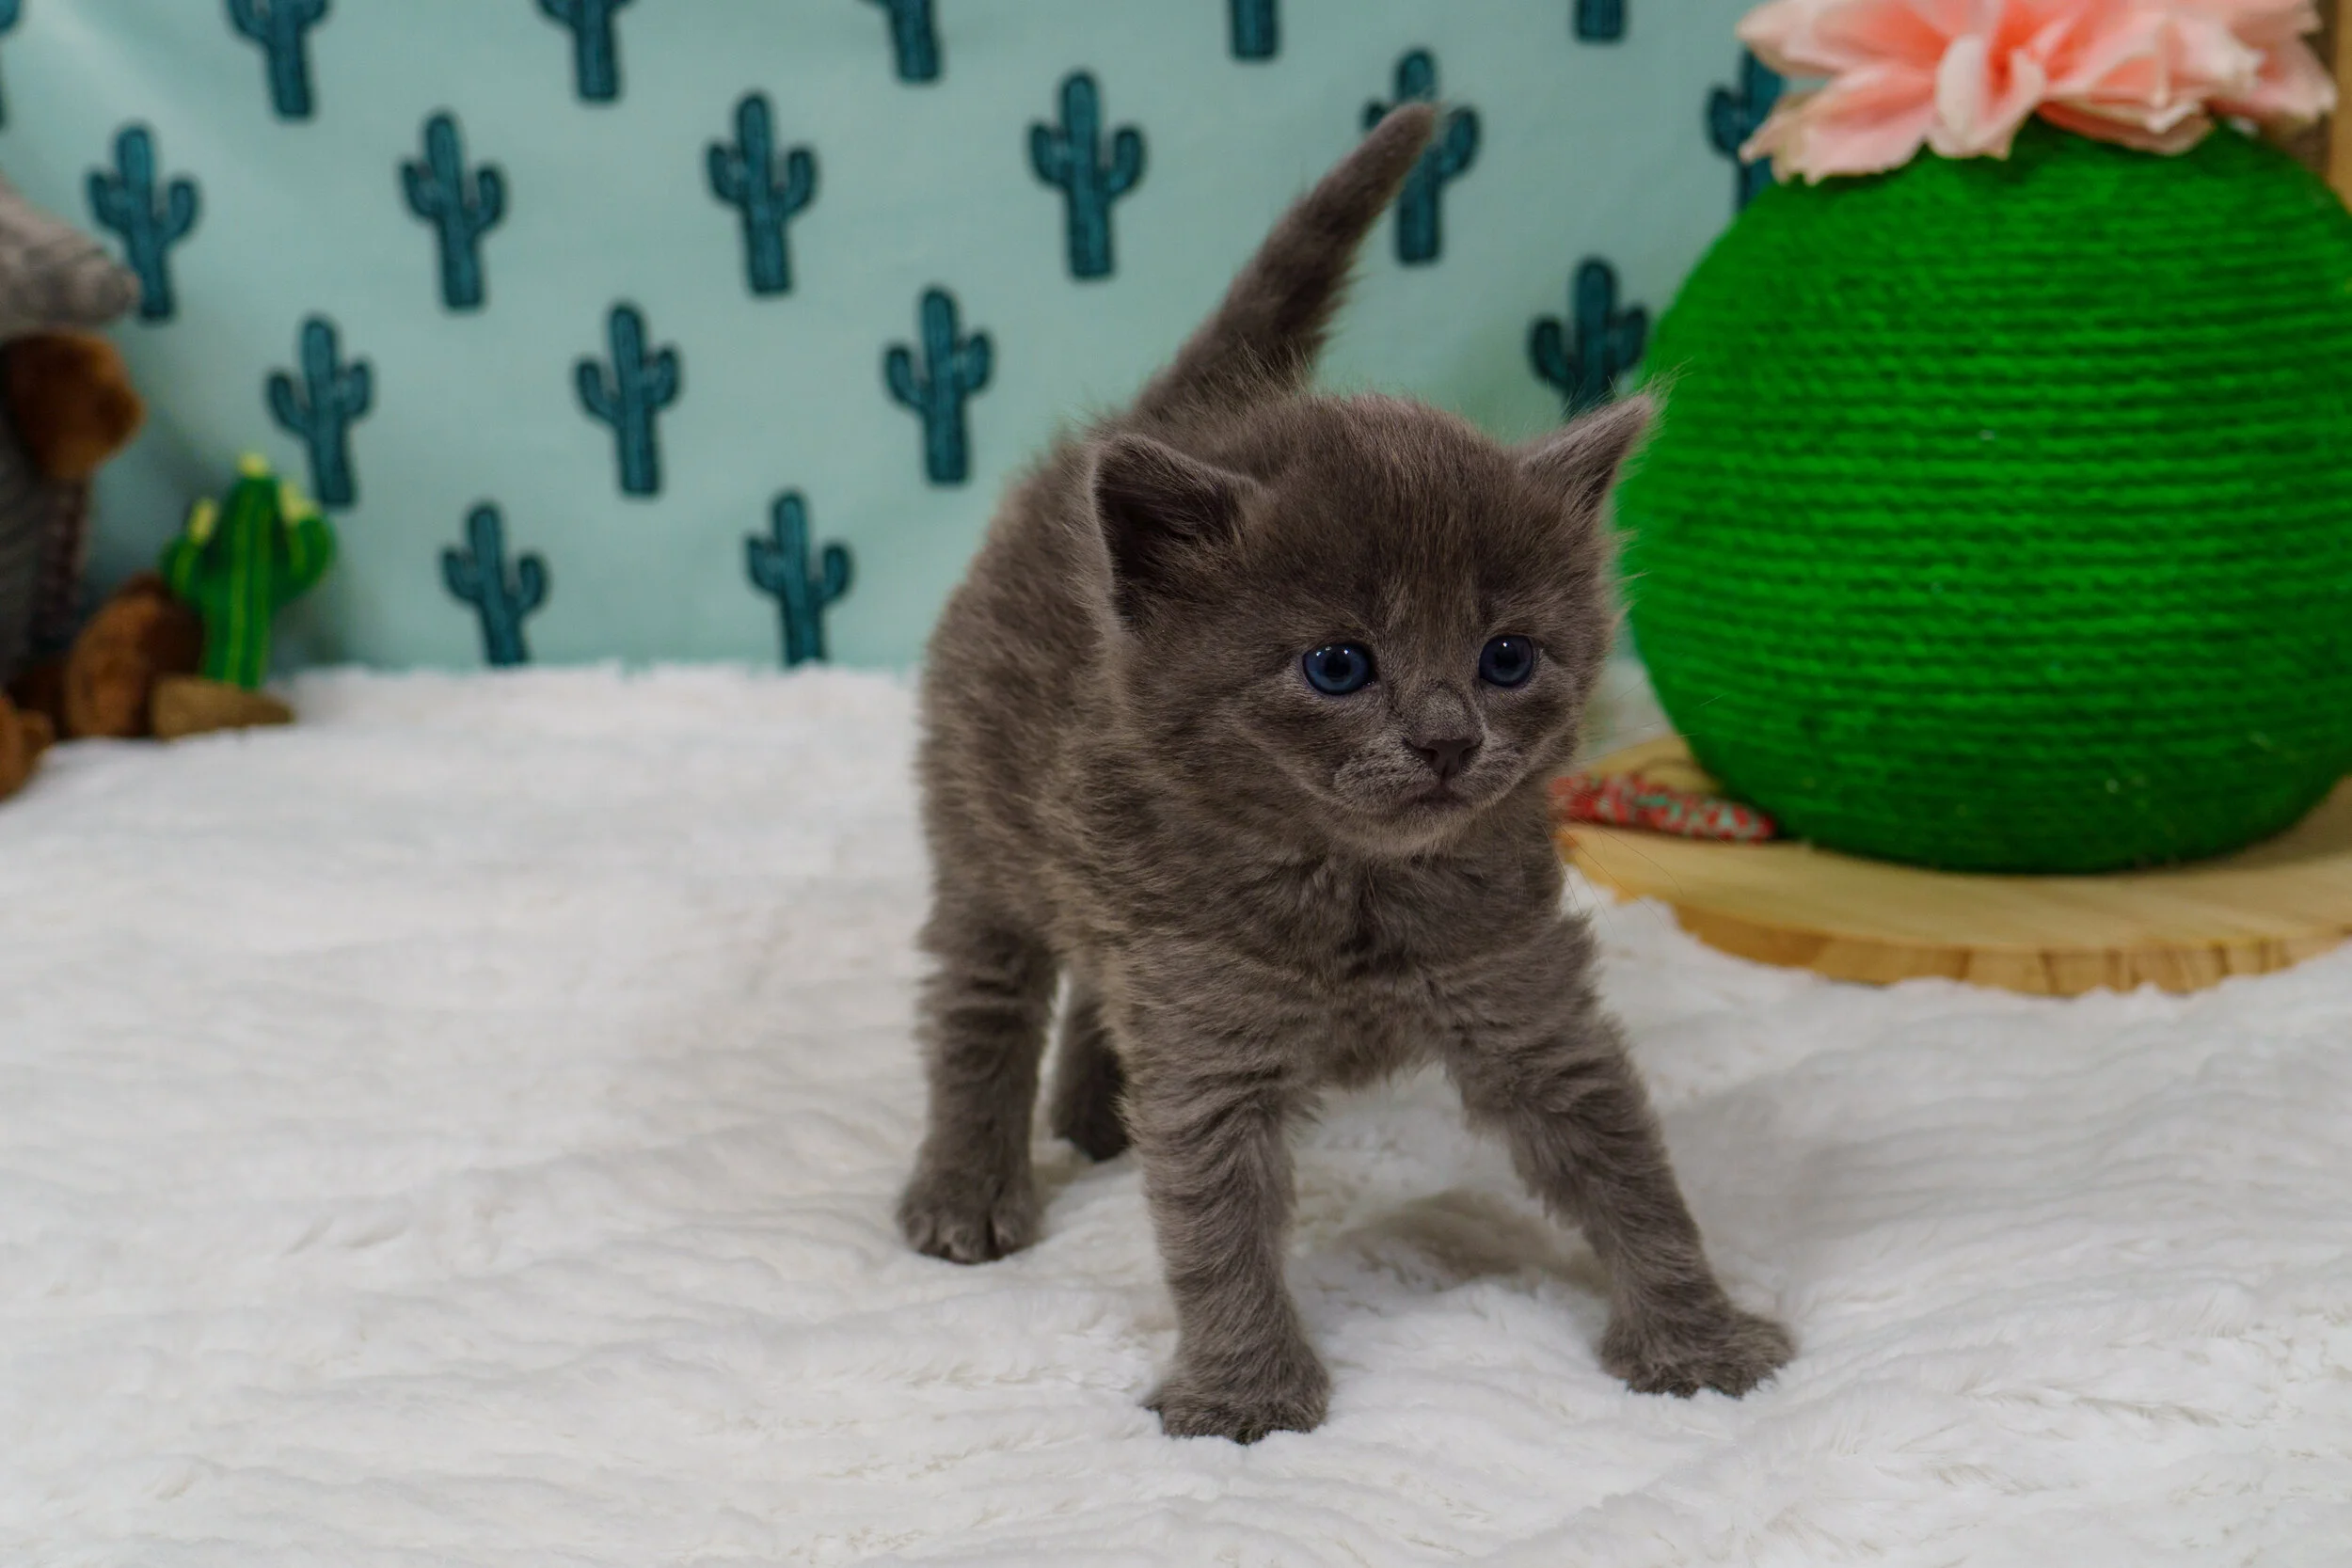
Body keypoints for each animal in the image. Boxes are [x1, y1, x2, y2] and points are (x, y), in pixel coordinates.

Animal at [900, 103, 1792, 1443]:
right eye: (1337, 664)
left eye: (1505, 656)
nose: (1446, 737)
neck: (1357, 884)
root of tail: (1171, 412)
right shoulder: (1206, 1018)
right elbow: (1214, 1217)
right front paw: (1245, 1395)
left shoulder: (1521, 992)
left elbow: (1627, 1164)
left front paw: (1698, 1338)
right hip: (980, 828)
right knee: (982, 999)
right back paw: (968, 1185)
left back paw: (1096, 1113)